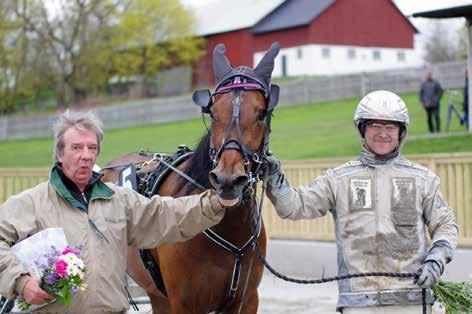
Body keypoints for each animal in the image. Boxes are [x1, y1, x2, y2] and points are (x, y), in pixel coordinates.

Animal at [102, 42, 280, 314]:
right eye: (214, 112)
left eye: (261, 113)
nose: (228, 181)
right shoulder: (185, 303)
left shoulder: (247, 299)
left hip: (157, 294)